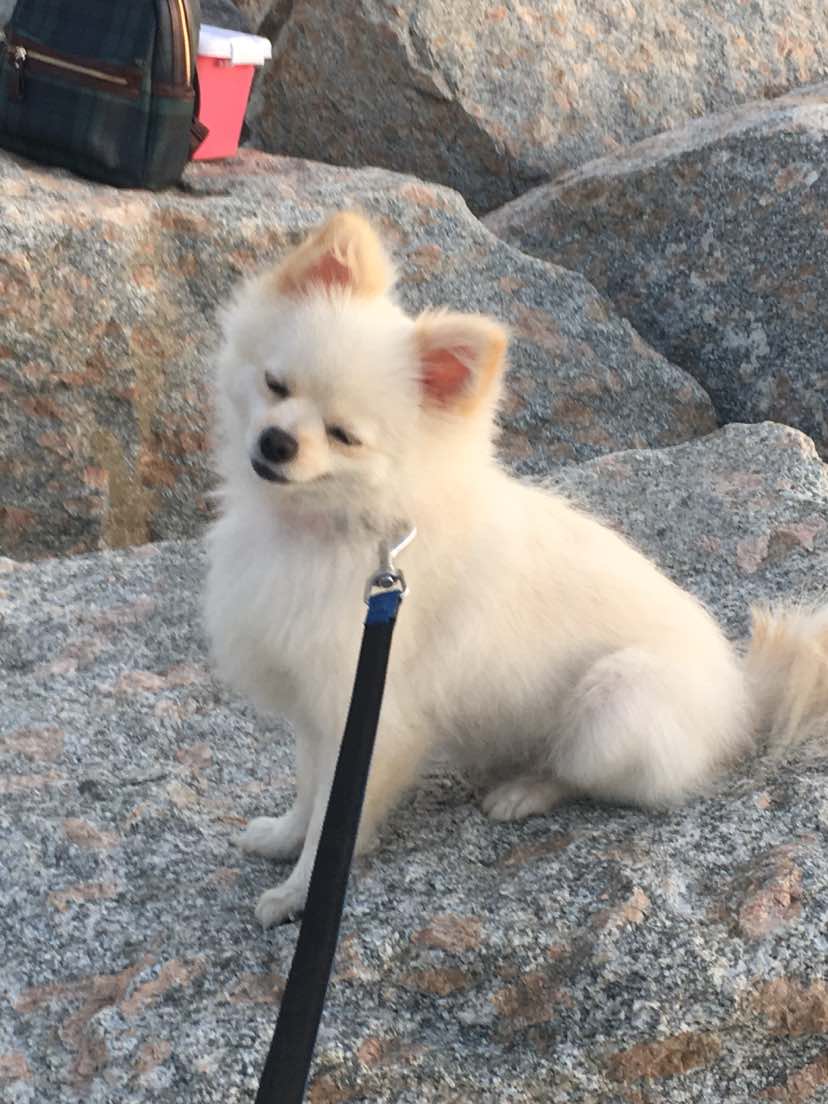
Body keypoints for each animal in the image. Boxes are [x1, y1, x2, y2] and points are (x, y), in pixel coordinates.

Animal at [204, 212, 828, 928]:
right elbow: (311, 797)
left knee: (584, 774)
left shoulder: (370, 710)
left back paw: (525, 790)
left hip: (616, 703)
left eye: (343, 436)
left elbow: (335, 824)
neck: (320, 531)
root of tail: (740, 696)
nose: (276, 442)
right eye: (276, 385)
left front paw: (300, 895)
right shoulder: (321, 710)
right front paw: (283, 837)